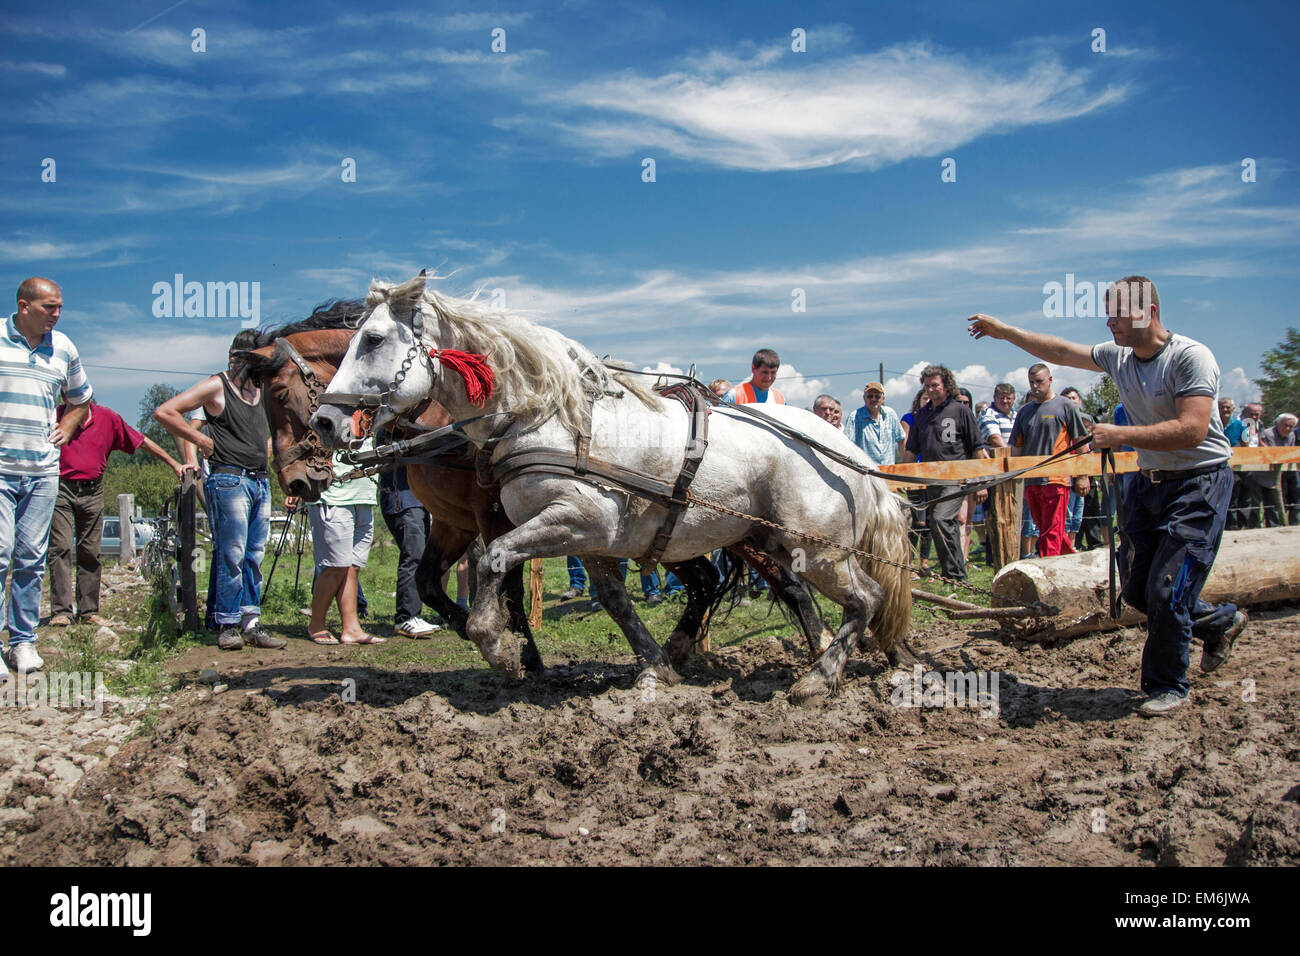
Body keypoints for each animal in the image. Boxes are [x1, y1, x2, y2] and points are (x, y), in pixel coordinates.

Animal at [240, 301, 834, 672]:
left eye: (279, 393)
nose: (296, 479)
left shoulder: (497, 518)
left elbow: (504, 584)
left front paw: (518, 652)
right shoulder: (454, 522)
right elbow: (431, 582)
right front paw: (476, 632)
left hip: (744, 530)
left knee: (790, 583)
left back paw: (821, 649)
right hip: (680, 534)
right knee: (710, 582)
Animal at [311, 274, 912, 702]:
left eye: (372, 339)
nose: (323, 421)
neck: (548, 416)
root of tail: (853, 455)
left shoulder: (573, 520)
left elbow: (495, 561)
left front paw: (501, 648)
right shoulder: (593, 541)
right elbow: (616, 603)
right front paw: (656, 667)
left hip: (817, 550)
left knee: (864, 598)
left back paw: (819, 678)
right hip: (764, 542)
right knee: (799, 594)